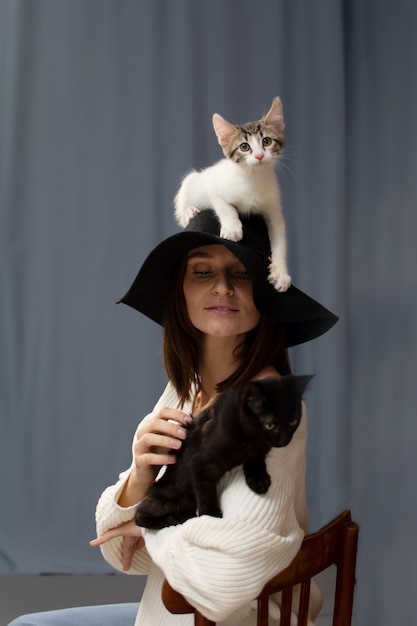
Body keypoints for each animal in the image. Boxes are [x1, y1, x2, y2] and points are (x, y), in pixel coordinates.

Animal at [135, 376, 310, 528]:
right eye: (270, 425)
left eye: (293, 421)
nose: (285, 439)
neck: (249, 440)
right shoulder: (199, 464)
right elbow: (206, 492)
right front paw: (210, 516)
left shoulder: (262, 448)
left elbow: (257, 458)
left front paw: (259, 479)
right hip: (177, 498)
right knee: (139, 516)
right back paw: (176, 519)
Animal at [173, 98, 290, 292]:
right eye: (244, 147)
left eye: (266, 141)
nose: (259, 156)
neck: (253, 178)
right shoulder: (213, 186)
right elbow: (225, 207)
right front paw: (232, 228)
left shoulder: (274, 210)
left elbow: (280, 240)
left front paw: (281, 274)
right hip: (189, 183)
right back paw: (189, 211)